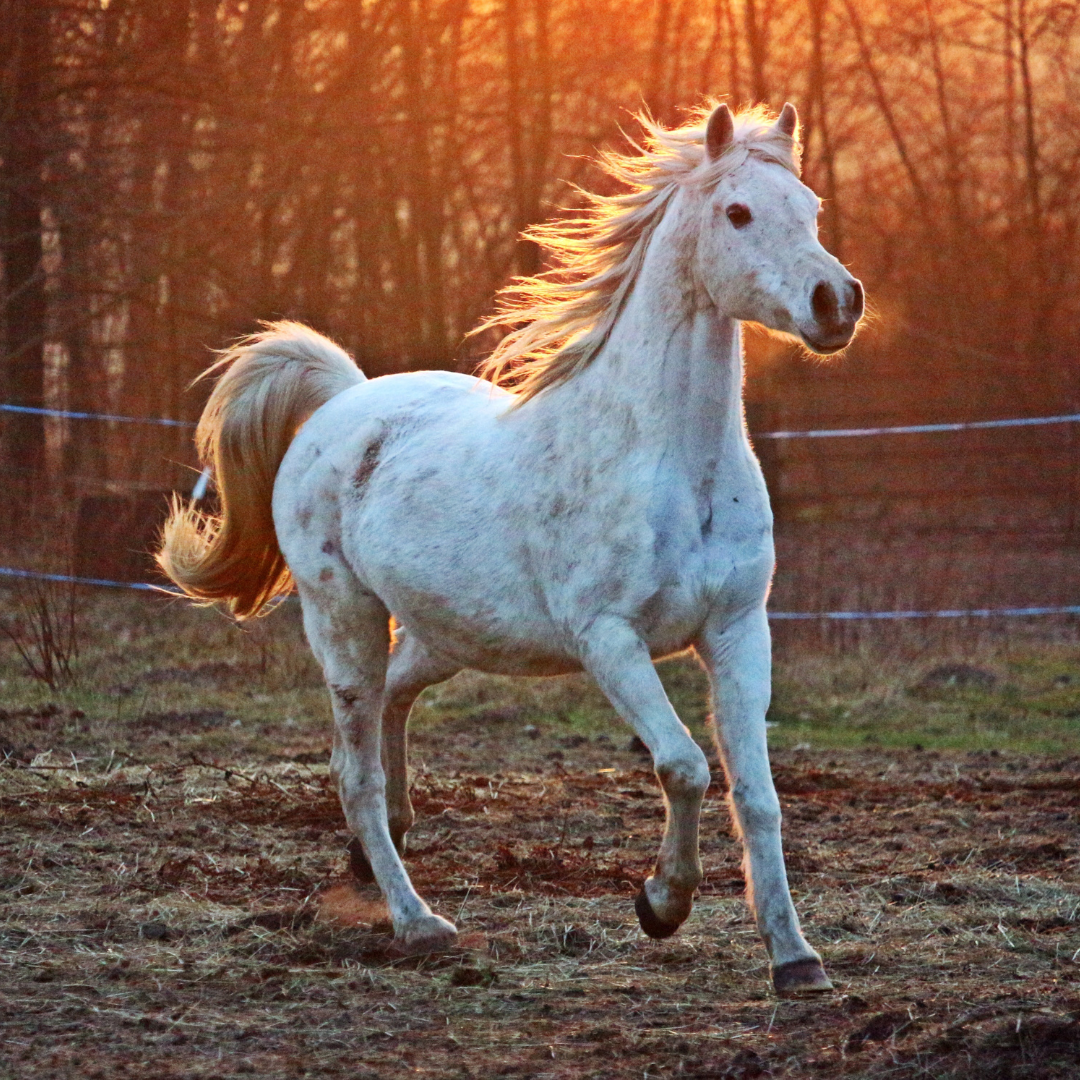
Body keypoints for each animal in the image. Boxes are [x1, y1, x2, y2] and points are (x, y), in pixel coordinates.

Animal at [159, 103, 859, 993]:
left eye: (811, 207)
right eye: (737, 213)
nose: (837, 302)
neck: (671, 462)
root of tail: (344, 401)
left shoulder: (738, 630)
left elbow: (758, 796)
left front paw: (796, 959)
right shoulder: (609, 640)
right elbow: (685, 766)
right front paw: (660, 905)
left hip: (447, 634)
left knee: (392, 707)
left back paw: (375, 854)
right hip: (344, 621)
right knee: (354, 770)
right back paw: (418, 921)